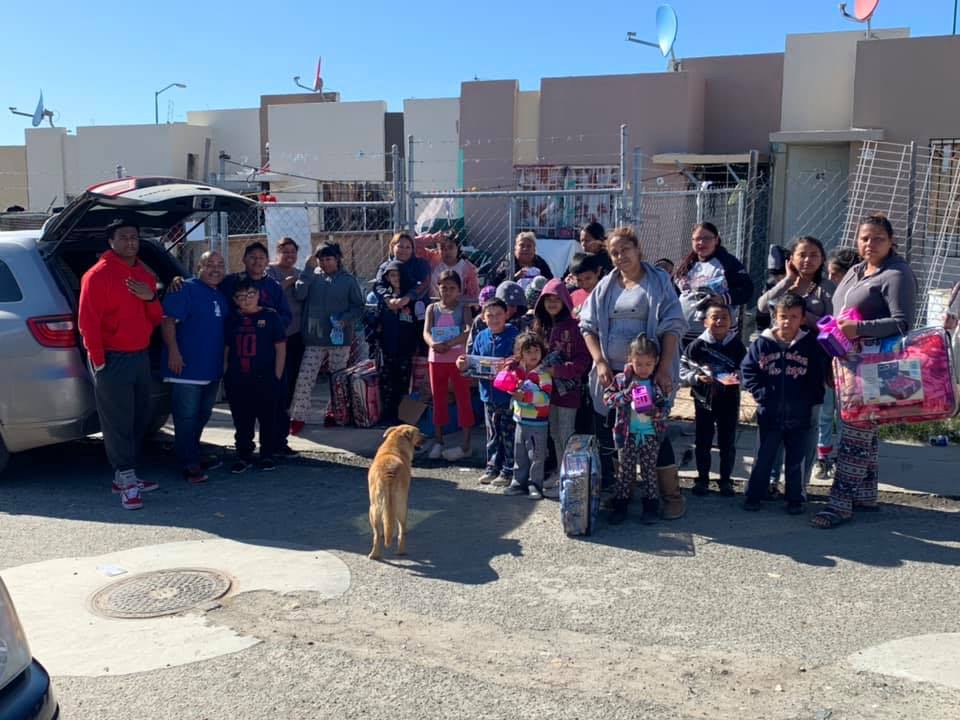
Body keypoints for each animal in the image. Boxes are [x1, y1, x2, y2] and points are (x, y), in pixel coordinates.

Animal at [370, 424, 426, 560]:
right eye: (419, 432)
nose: (427, 436)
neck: (393, 445)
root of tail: (389, 473)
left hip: (374, 509)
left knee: (377, 535)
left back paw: (374, 554)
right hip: (401, 507)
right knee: (401, 531)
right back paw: (400, 551)